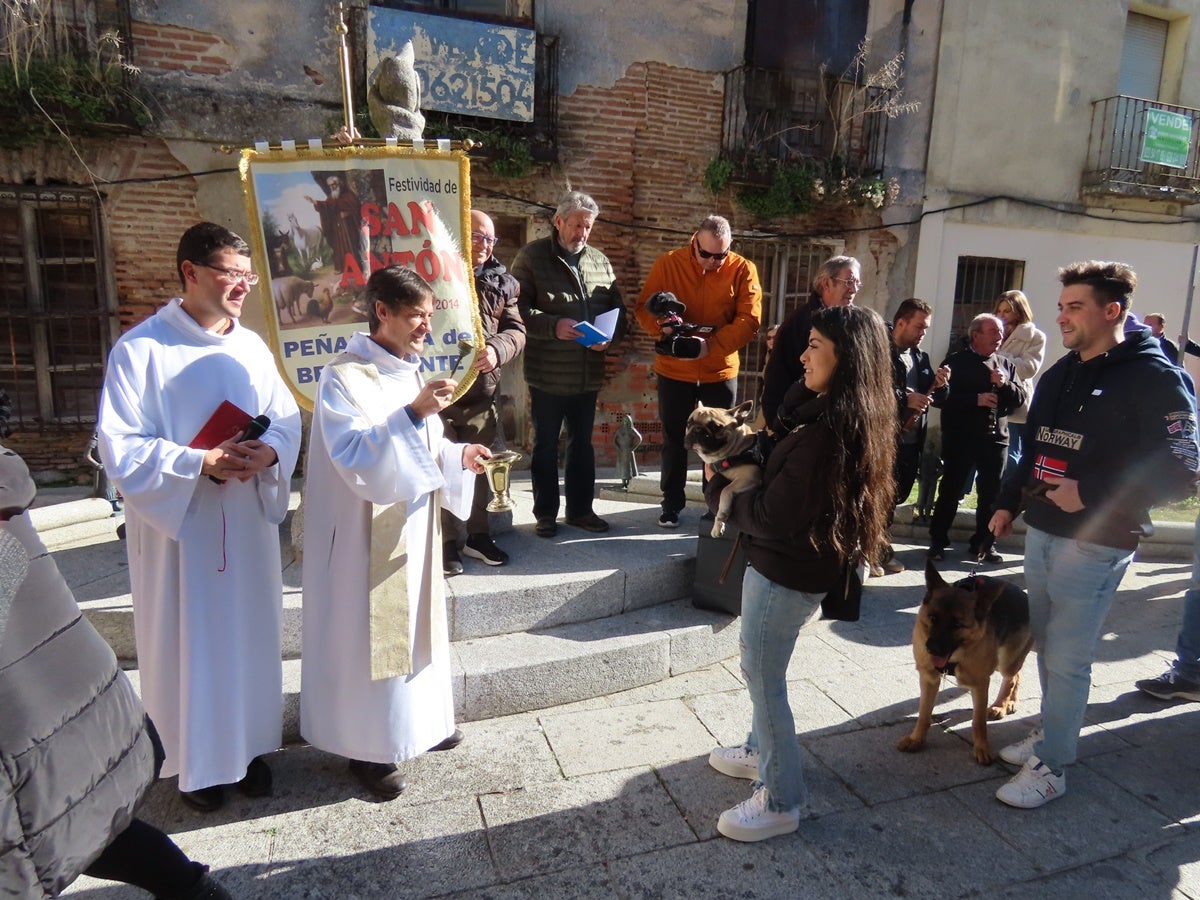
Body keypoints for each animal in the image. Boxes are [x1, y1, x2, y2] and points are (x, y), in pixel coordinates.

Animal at [897, 561, 1036, 763]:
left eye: (957, 625)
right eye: (933, 618)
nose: (931, 649)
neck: (956, 655)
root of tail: (1024, 595)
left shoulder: (980, 684)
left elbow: (978, 721)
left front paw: (981, 747)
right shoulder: (929, 679)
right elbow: (923, 714)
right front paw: (917, 739)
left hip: (1006, 662)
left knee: (1011, 678)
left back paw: (1001, 705)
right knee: (1017, 675)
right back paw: (1010, 702)